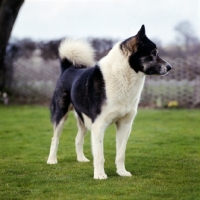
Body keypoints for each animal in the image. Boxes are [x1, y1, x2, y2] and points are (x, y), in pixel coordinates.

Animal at [47, 25, 172, 180]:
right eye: (153, 53)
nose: (170, 67)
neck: (124, 75)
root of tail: (68, 68)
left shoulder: (125, 125)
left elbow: (121, 154)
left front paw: (122, 172)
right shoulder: (99, 125)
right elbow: (99, 155)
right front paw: (100, 175)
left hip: (84, 120)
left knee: (78, 139)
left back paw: (81, 159)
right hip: (61, 115)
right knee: (55, 138)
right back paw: (52, 160)